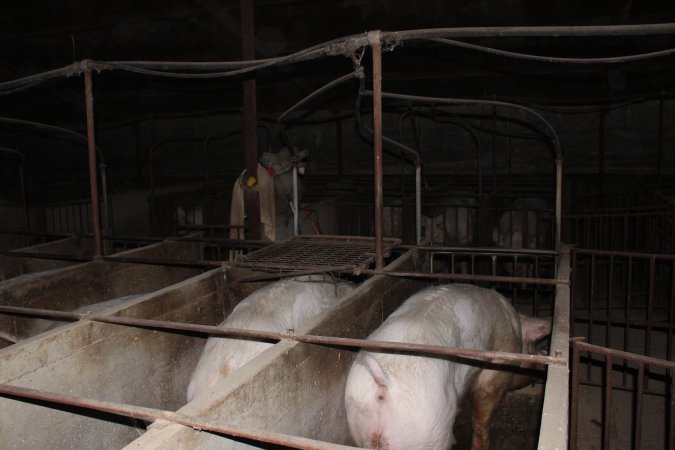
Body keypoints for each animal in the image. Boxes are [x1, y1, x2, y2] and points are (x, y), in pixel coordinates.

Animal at [346, 284, 552, 450]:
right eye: (535, 345)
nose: (544, 355)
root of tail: (384, 386)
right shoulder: (497, 368)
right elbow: (482, 417)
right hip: (425, 428)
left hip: (359, 421)